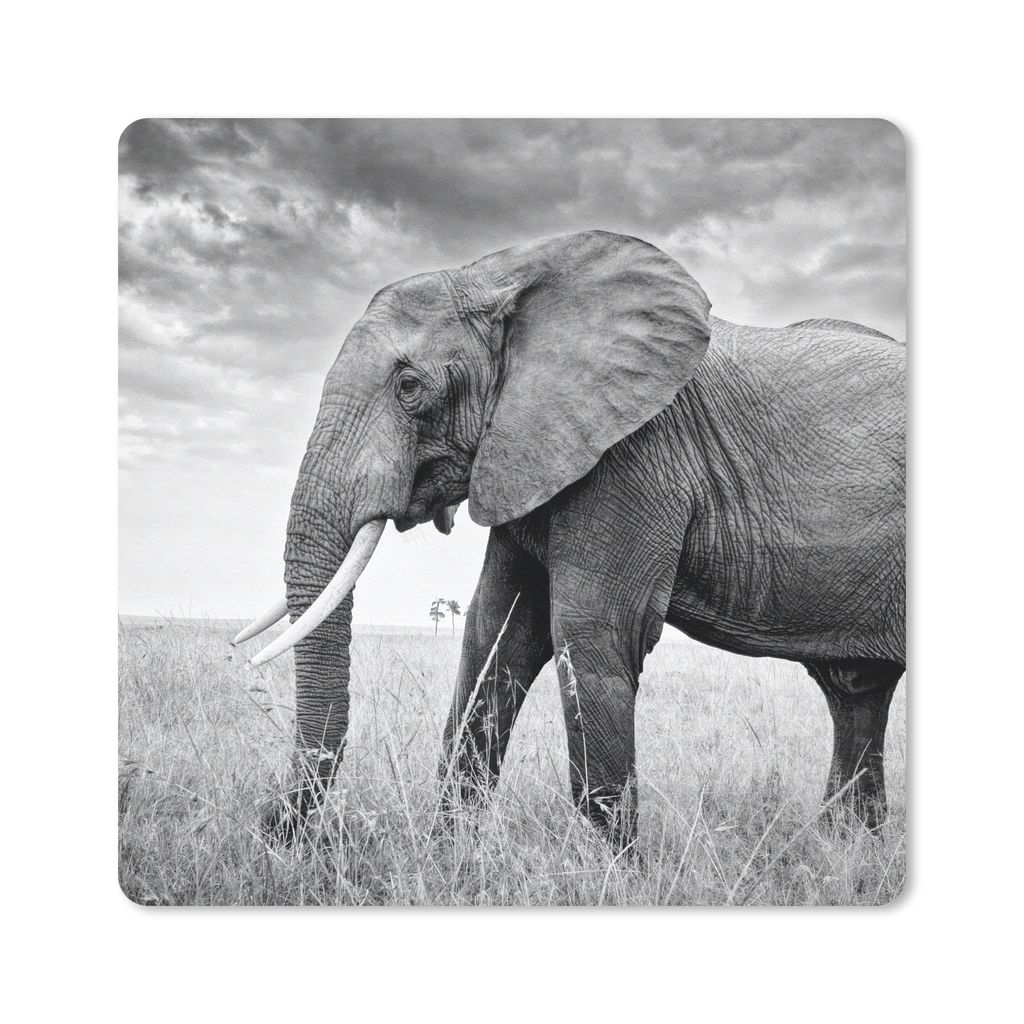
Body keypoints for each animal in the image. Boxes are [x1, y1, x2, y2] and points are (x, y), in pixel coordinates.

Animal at [235, 230, 905, 849]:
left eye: (409, 386)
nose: (274, 829)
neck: (501, 276)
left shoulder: (633, 453)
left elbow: (590, 630)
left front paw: (618, 873)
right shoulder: (525, 449)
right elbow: (496, 632)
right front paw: (452, 854)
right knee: (856, 690)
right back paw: (852, 848)